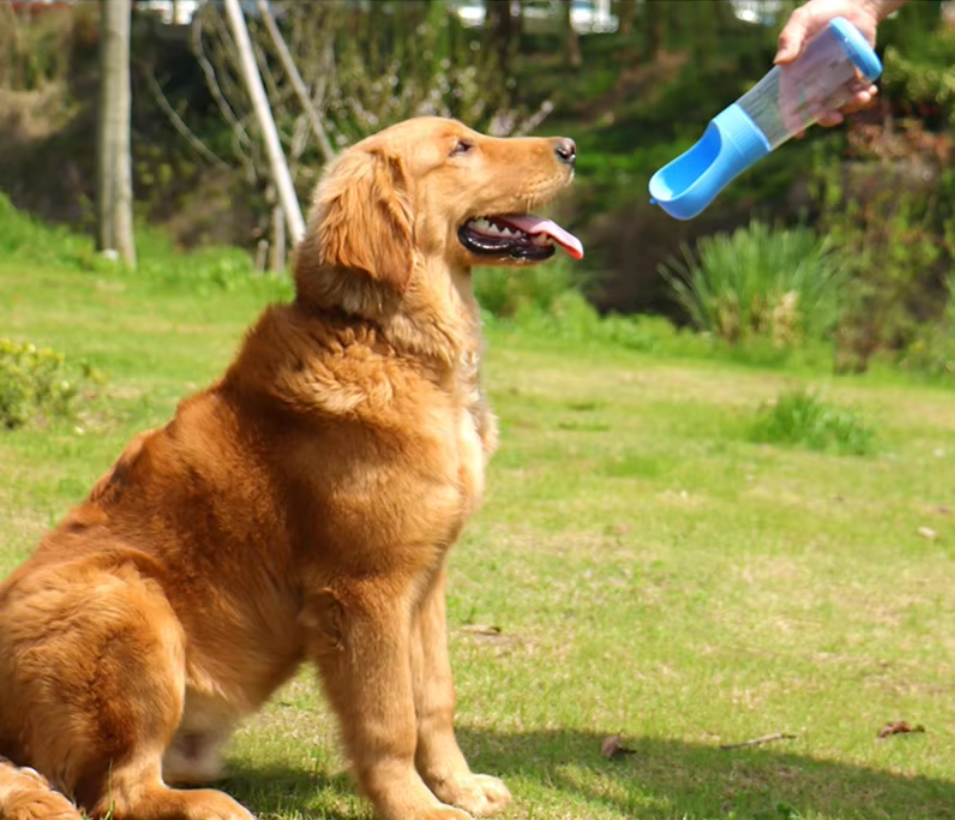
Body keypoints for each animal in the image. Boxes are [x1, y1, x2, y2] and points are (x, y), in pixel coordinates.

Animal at [0, 117, 584, 820]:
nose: (571, 149)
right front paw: (417, 807)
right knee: (121, 789)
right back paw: (211, 805)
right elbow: (390, 720)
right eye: (460, 147)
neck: (389, 340)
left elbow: (435, 700)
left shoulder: (425, 581)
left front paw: (460, 788)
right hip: (129, 600)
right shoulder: (364, 591)